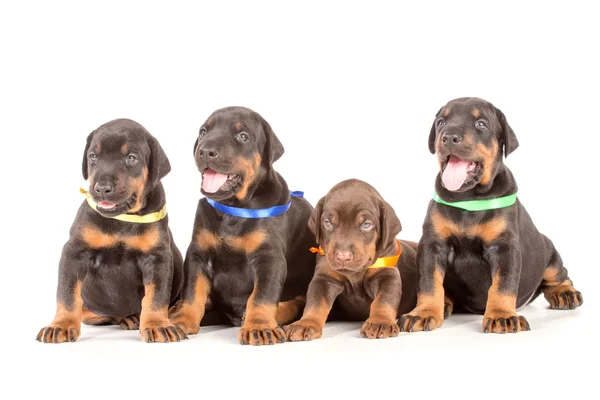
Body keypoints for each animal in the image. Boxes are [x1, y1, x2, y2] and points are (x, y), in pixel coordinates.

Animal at [35, 119, 185, 344]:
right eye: (93, 156)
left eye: (131, 158)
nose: (102, 188)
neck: (121, 218)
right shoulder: (74, 252)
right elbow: (67, 293)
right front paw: (61, 324)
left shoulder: (157, 256)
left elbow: (156, 296)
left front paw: (157, 323)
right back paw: (128, 318)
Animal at [168, 108, 314, 346]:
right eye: (203, 131)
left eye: (243, 136)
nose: (205, 151)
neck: (233, 209)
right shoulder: (198, 254)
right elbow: (192, 292)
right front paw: (182, 319)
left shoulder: (268, 258)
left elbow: (262, 296)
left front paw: (259, 326)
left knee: (296, 303)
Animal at [282, 180, 414, 340]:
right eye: (327, 223)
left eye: (366, 224)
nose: (343, 256)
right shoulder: (325, 278)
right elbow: (316, 302)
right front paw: (306, 323)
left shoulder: (386, 274)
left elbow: (384, 300)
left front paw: (380, 321)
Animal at [400, 97, 584, 334]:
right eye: (441, 122)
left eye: (481, 124)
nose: (449, 137)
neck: (469, 197)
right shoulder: (433, 244)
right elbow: (428, 282)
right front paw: (424, 312)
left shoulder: (504, 247)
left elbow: (503, 285)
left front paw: (501, 316)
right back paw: (446, 302)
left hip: (547, 249)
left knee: (558, 273)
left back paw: (565, 292)